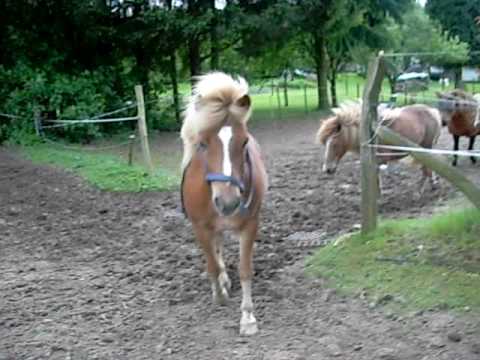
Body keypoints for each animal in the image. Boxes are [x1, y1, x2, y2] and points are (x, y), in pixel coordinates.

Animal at [181, 71, 268, 336]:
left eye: (244, 142)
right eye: (203, 143)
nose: (228, 203)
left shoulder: (250, 225)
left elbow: (245, 270)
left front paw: (248, 318)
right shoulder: (200, 226)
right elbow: (211, 265)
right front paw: (219, 294)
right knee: (215, 251)